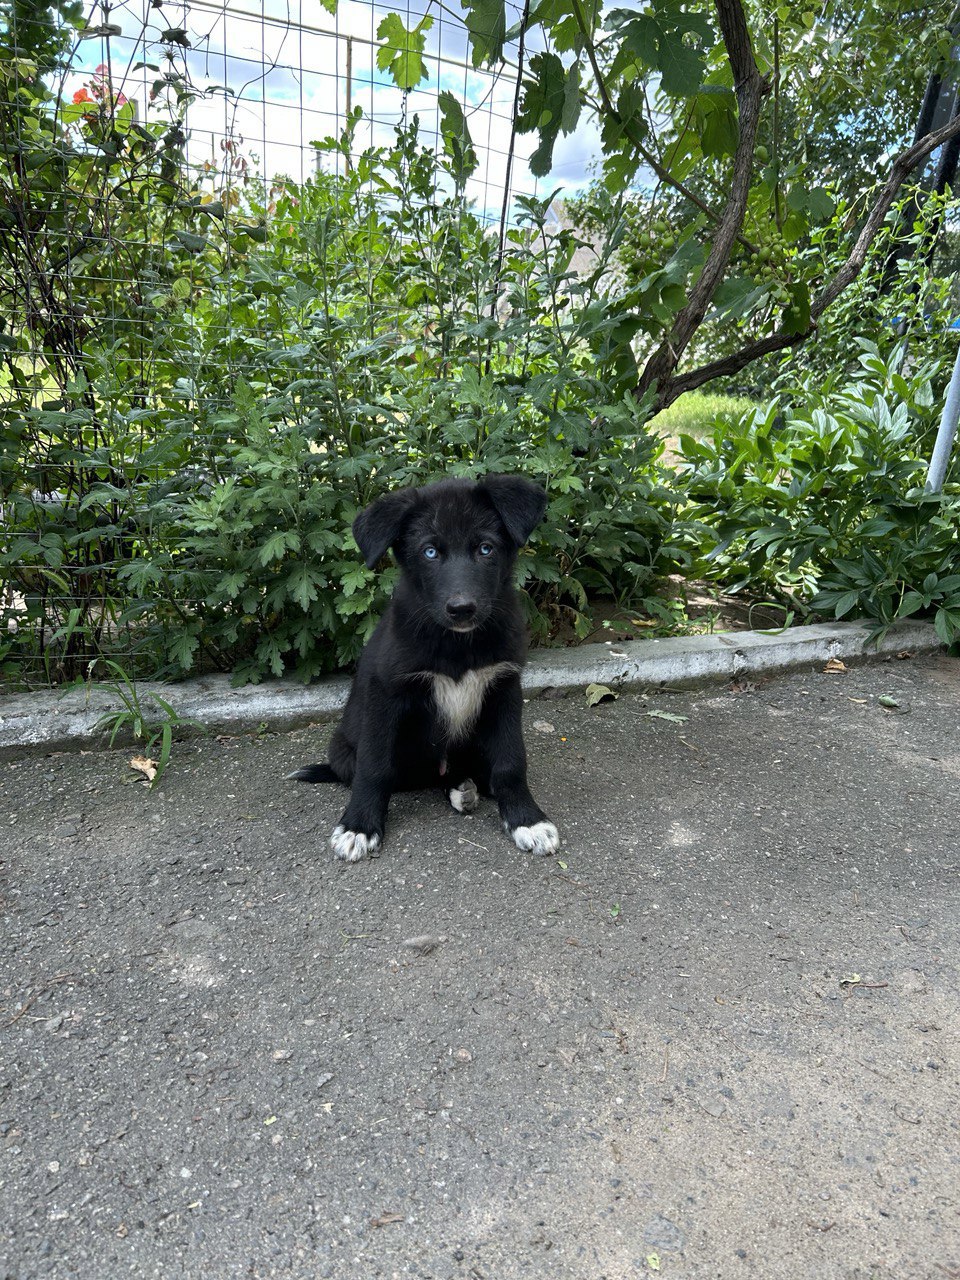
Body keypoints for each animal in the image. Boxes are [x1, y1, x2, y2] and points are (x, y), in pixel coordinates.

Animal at [293, 476, 560, 865]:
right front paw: (359, 826)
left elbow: (511, 763)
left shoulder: (504, 688)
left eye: (485, 548)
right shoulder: (386, 693)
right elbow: (374, 767)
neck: (458, 644)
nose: (462, 609)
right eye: (429, 552)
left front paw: (527, 820)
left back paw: (466, 788)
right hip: (344, 749)